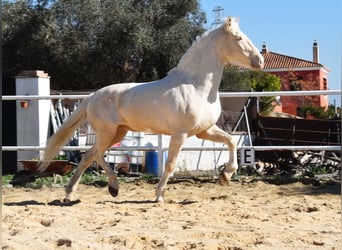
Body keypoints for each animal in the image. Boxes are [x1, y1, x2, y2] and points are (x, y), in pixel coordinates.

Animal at [40, 16, 264, 202]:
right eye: (238, 38)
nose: (260, 61)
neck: (197, 86)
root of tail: (92, 97)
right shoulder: (180, 133)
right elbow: (171, 163)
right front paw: (159, 195)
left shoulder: (204, 131)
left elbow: (231, 141)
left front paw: (226, 175)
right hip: (107, 132)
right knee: (96, 155)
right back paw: (113, 187)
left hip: (118, 132)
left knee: (88, 156)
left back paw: (71, 194)